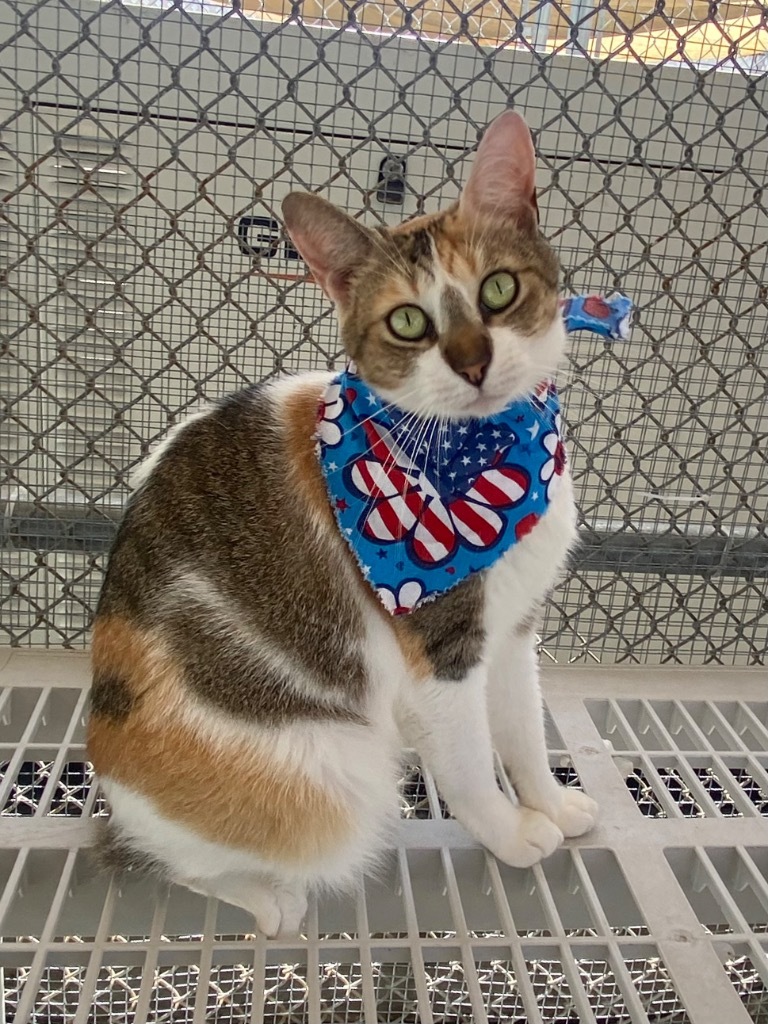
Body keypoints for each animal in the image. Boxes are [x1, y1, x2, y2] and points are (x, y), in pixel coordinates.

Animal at [88, 110, 593, 937]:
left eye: (498, 289)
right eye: (409, 322)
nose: (473, 361)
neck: (482, 455)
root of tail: (111, 798)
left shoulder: (514, 628)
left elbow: (522, 728)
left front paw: (549, 802)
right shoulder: (439, 655)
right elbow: (470, 763)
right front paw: (512, 832)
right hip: (333, 781)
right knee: (176, 863)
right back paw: (268, 899)